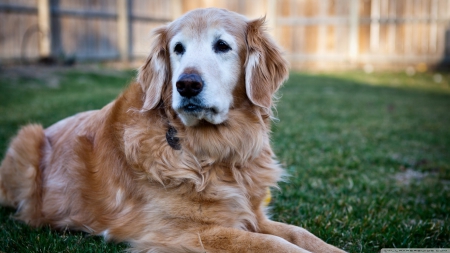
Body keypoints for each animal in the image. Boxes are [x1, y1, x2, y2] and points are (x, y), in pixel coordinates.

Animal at [0, 7, 344, 253]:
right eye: (178, 48)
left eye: (222, 45)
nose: (187, 84)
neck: (214, 153)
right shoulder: (183, 232)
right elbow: (274, 245)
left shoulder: (252, 214)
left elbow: (301, 234)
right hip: (27, 137)